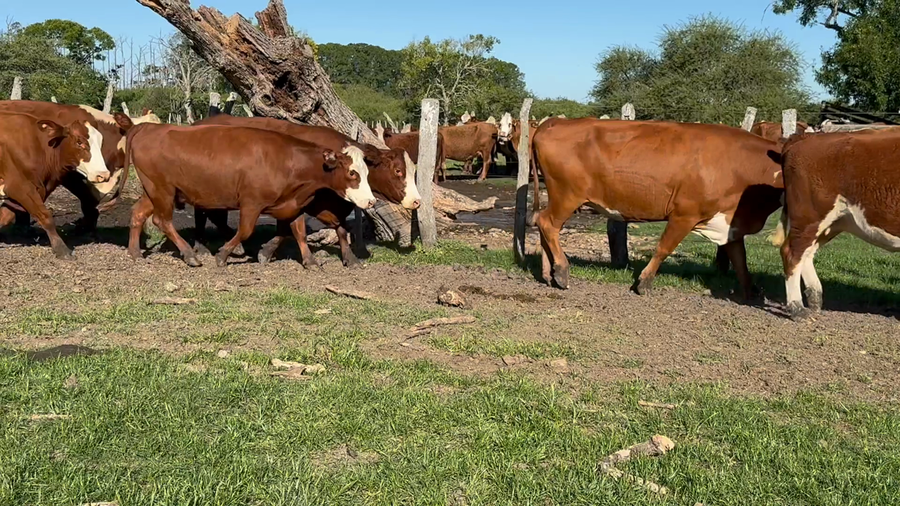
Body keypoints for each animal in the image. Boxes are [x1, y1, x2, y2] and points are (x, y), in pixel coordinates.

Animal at [0, 112, 111, 258]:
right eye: (79, 142)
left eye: (100, 142)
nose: (103, 174)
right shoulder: (19, 188)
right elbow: (45, 215)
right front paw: (61, 249)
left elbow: (4, 217)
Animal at [125, 123, 377, 268]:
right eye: (352, 173)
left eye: (367, 171)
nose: (371, 201)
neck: (287, 161)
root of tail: (148, 127)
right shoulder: (251, 203)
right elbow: (245, 231)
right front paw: (223, 255)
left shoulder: (294, 203)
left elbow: (299, 232)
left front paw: (310, 260)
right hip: (162, 190)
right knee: (162, 220)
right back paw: (189, 255)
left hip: (154, 191)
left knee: (138, 213)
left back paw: (135, 253)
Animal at [191, 115, 420, 267]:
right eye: (398, 171)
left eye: (414, 170)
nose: (417, 201)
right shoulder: (302, 202)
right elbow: (290, 228)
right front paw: (267, 252)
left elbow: (340, 228)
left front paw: (350, 258)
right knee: (202, 214)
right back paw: (203, 247)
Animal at [531, 118, 784, 299]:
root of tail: (555, 122)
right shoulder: (684, 214)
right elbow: (664, 248)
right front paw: (644, 283)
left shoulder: (731, 222)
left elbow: (741, 260)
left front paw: (751, 292)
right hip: (567, 195)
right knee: (547, 224)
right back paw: (561, 271)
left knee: (543, 225)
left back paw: (548, 274)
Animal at [772, 129, 900, 319]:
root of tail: (807, 137)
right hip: (809, 217)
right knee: (792, 253)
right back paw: (797, 307)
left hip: (833, 222)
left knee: (807, 252)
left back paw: (815, 299)